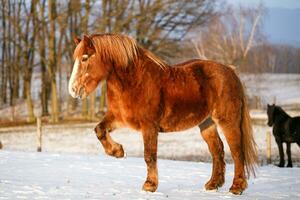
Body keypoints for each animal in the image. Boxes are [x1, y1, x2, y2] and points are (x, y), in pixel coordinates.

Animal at [69, 33, 256, 195]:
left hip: (228, 121)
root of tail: (231, 72)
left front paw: (149, 185)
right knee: (217, 150)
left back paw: (237, 187)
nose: (73, 90)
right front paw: (118, 151)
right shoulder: (119, 118)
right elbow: (99, 130)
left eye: (85, 57)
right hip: (206, 124)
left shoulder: (149, 126)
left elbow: (149, 155)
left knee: (237, 151)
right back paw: (213, 184)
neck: (135, 81)